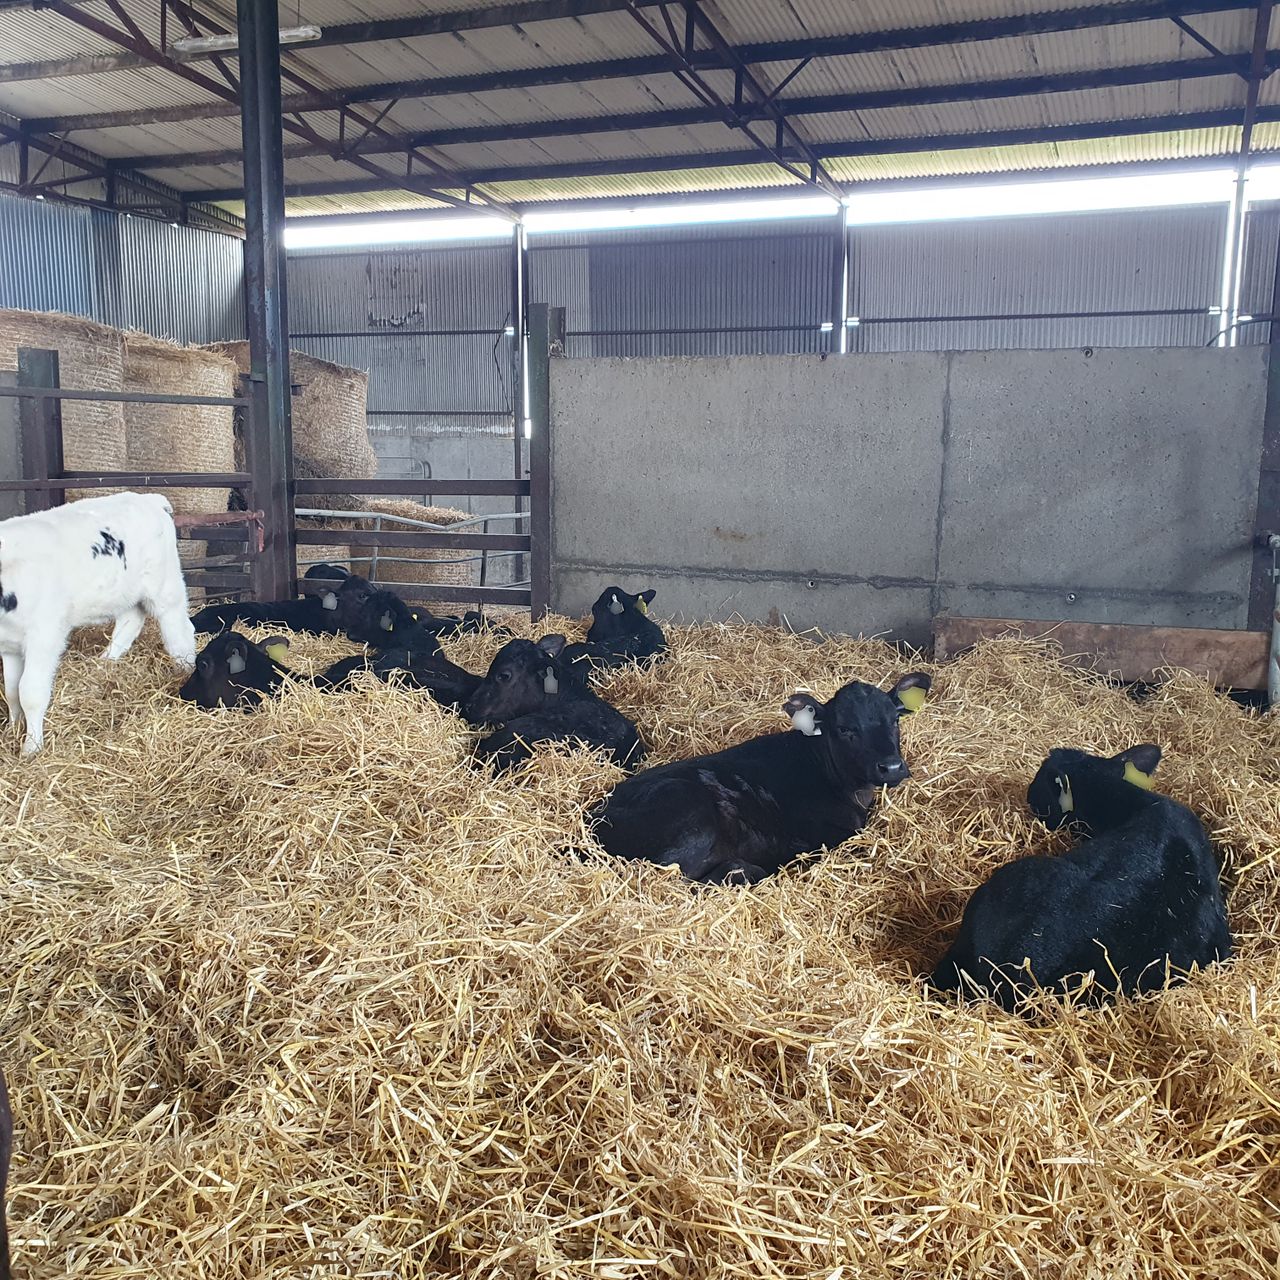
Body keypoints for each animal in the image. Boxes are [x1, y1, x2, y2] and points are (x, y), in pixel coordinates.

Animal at [0, 492, 196, 753]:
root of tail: (149, 498)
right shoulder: (8, 644)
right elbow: (11, 691)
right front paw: (12, 730)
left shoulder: (45, 636)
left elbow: (30, 692)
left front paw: (31, 748)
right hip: (125, 593)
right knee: (130, 621)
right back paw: (105, 663)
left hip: (165, 586)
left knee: (179, 630)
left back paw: (185, 670)